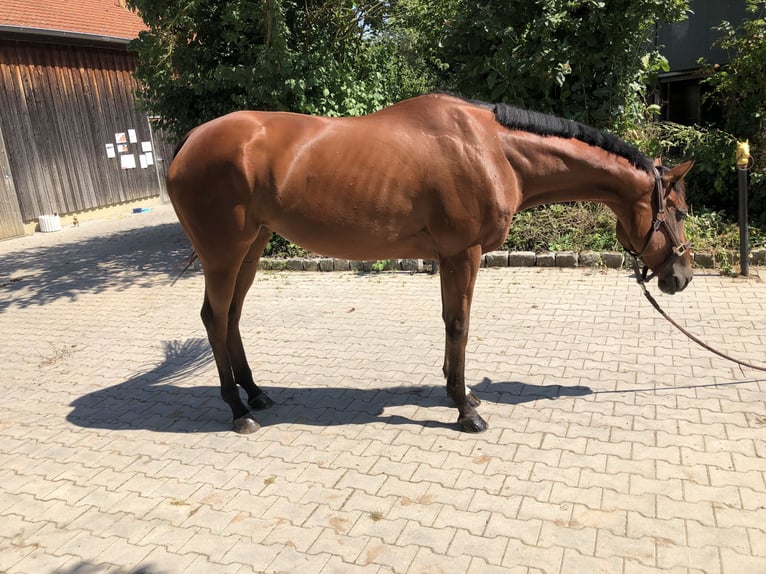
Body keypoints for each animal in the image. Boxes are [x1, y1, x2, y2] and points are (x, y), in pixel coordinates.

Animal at [168, 93, 696, 436]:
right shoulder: (464, 253)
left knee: (233, 317)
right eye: (678, 211)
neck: (493, 149)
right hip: (224, 253)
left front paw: (460, 393)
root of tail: (192, 140)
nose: (682, 277)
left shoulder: (448, 257)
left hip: (252, 247)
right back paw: (238, 410)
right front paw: (466, 411)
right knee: (214, 317)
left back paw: (255, 393)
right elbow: (460, 324)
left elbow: (449, 323)